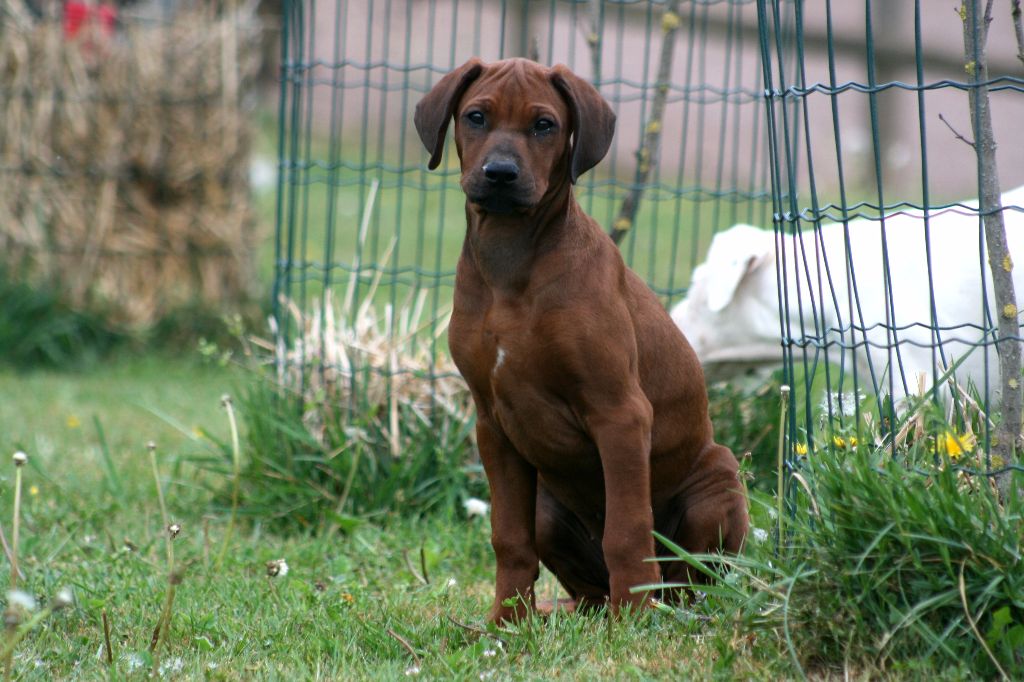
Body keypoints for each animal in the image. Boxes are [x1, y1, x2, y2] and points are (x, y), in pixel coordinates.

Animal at [413, 58, 745, 622]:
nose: (500, 174)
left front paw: (632, 623)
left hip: (718, 480)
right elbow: (509, 537)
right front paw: (507, 621)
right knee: (588, 589)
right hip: (548, 507)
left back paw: (657, 610)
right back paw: (571, 613)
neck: (511, 261)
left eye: (544, 125)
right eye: (476, 116)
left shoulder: (620, 413)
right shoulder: (491, 423)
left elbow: (627, 531)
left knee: (687, 582)